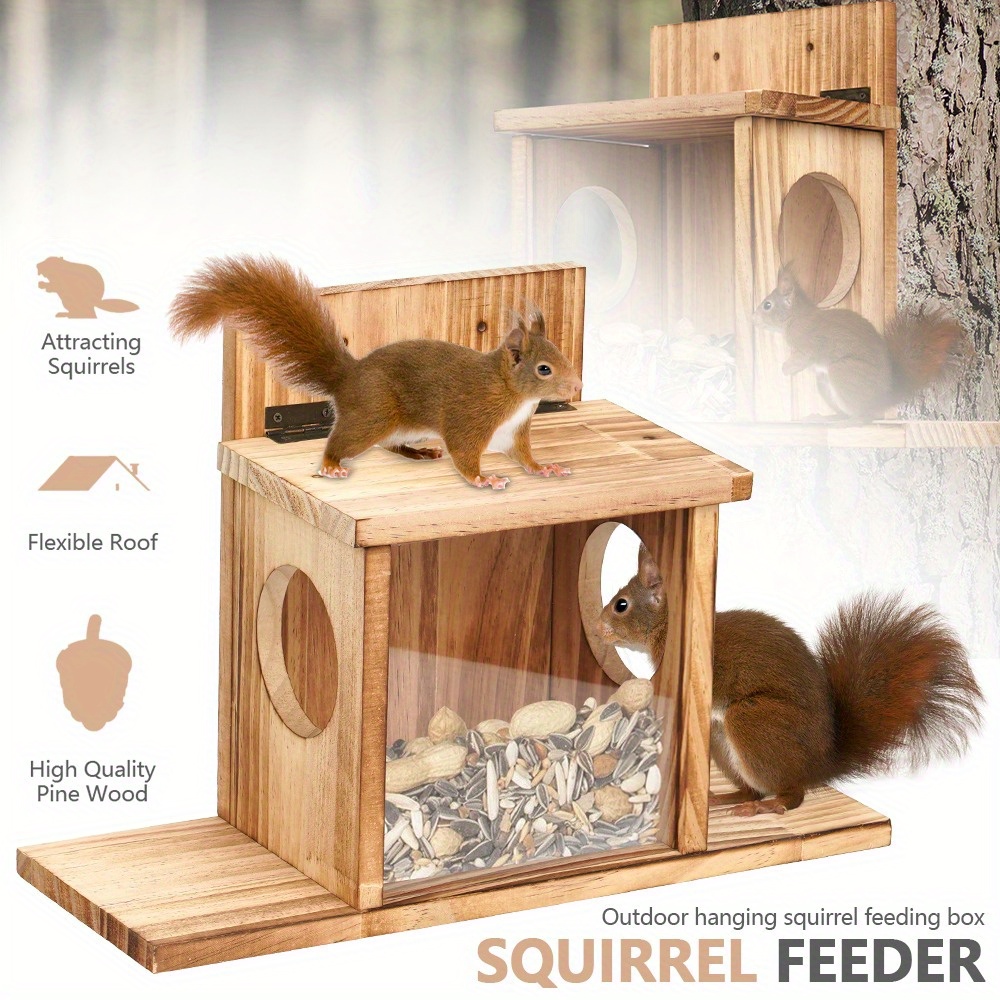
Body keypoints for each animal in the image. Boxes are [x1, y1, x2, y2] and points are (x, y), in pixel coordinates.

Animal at [169, 255, 582, 489]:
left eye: (561, 354)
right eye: (544, 369)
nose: (576, 384)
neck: (512, 395)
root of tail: (348, 377)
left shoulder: (513, 432)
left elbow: (524, 456)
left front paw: (545, 468)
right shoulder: (470, 417)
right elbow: (465, 456)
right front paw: (485, 479)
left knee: (390, 445)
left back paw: (420, 453)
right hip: (373, 415)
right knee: (341, 442)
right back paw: (332, 466)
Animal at [598, 542, 983, 816]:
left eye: (621, 604)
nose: (599, 627)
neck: (667, 626)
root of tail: (819, 765)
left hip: (753, 721)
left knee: (792, 793)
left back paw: (770, 805)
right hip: (723, 741)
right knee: (751, 787)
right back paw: (728, 800)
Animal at [753, 265, 962, 419]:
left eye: (767, 305)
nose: (753, 317)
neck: (795, 318)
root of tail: (882, 399)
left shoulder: (810, 343)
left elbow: (802, 357)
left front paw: (786, 368)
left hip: (842, 372)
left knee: (862, 417)